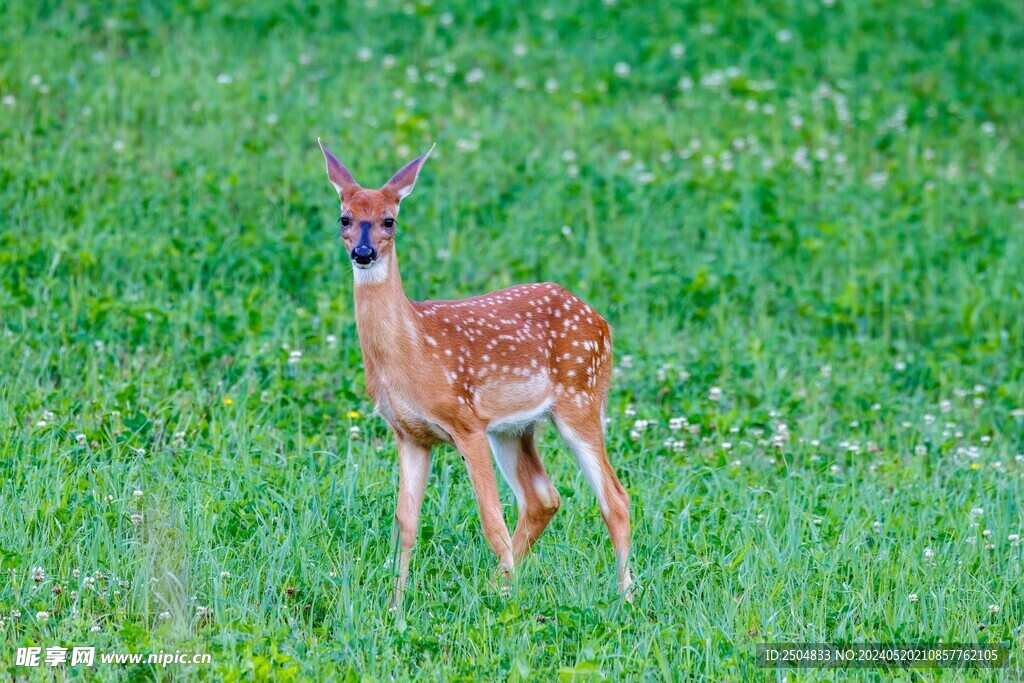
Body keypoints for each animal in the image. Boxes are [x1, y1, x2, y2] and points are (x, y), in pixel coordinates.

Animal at [317, 138, 633, 606]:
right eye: (345, 218)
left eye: (389, 220)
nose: (363, 253)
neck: (413, 352)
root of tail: (602, 321)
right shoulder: (409, 434)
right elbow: (406, 523)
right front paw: (395, 604)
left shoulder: (466, 421)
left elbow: (490, 520)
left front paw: (502, 609)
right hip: (514, 428)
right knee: (543, 497)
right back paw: (499, 583)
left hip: (582, 398)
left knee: (615, 498)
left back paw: (624, 596)